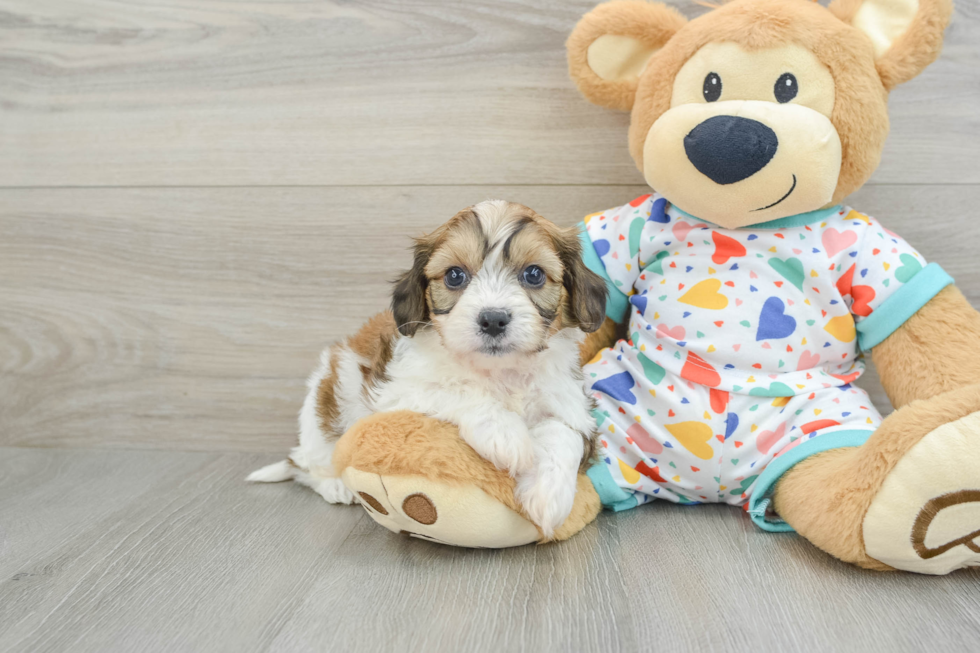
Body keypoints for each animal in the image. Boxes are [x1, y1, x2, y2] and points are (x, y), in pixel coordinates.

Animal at [249, 199, 608, 536]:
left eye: (533, 274)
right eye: (454, 275)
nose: (493, 319)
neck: (500, 372)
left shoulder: (571, 403)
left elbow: (564, 433)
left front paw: (549, 494)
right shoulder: (395, 393)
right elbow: (455, 390)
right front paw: (505, 434)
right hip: (324, 408)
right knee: (306, 466)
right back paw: (335, 485)